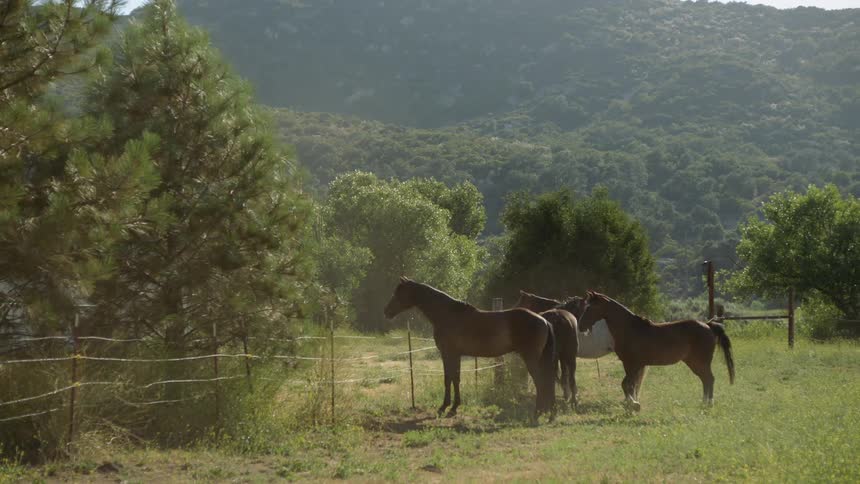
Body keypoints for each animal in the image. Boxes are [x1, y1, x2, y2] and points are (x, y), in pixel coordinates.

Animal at [384, 277, 557, 420]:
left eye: (398, 293)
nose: (386, 312)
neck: (448, 315)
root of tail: (543, 320)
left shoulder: (448, 354)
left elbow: (448, 379)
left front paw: (444, 407)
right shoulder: (456, 355)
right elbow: (455, 378)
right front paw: (454, 407)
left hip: (531, 358)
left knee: (541, 381)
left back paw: (537, 412)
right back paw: (547, 413)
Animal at [578, 291, 735, 410]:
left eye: (590, 308)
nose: (580, 326)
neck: (629, 329)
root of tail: (708, 325)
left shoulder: (633, 364)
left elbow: (626, 384)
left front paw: (634, 404)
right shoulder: (631, 365)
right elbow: (629, 385)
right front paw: (631, 404)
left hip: (699, 362)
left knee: (709, 379)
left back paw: (708, 404)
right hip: (695, 362)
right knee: (706, 380)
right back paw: (704, 403)